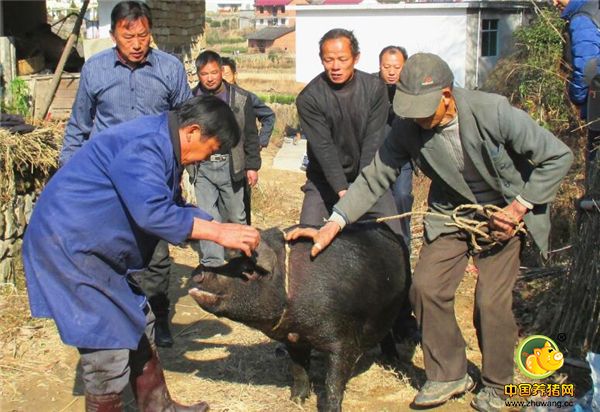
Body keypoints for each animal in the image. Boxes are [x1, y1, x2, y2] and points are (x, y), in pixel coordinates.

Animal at [189, 225, 412, 412]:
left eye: (248, 271)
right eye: (232, 262)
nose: (199, 271)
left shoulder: (342, 340)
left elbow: (334, 381)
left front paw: (330, 409)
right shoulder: (294, 338)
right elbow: (298, 369)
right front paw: (296, 401)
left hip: (401, 299)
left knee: (391, 330)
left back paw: (393, 361)